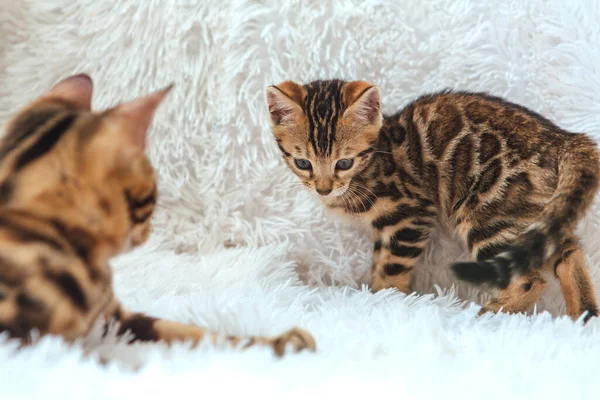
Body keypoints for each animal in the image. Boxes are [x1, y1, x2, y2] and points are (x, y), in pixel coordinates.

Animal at [0, 72, 316, 356]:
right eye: (151, 196)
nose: (149, 233)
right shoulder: (26, 343)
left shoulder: (115, 319)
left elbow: (198, 334)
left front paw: (276, 343)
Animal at [266, 79, 600, 322]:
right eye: (303, 163)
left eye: (344, 163)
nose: (323, 189)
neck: (372, 163)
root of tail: (562, 138)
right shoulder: (384, 227)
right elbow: (379, 261)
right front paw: (375, 293)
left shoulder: (411, 213)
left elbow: (391, 268)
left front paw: (385, 300)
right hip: (538, 213)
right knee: (567, 251)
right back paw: (581, 317)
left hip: (487, 214)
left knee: (531, 279)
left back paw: (488, 315)